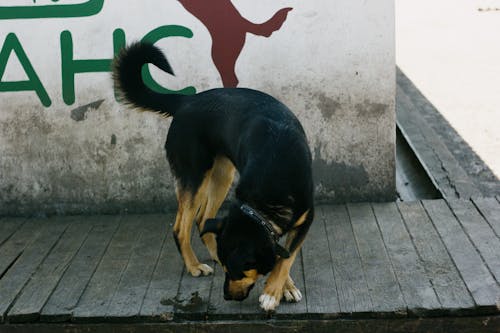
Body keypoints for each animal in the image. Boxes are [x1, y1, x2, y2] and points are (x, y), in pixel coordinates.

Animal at [115, 42, 314, 312]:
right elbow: (280, 257)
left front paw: (281, 287)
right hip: (195, 177)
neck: (275, 175)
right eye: (231, 272)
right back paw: (194, 266)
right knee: (181, 227)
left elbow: (285, 257)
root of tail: (186, 100)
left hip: (222, 175)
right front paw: (275, 291)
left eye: (238, 272)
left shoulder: (305, 220)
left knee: (202, 220)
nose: (227, 297)